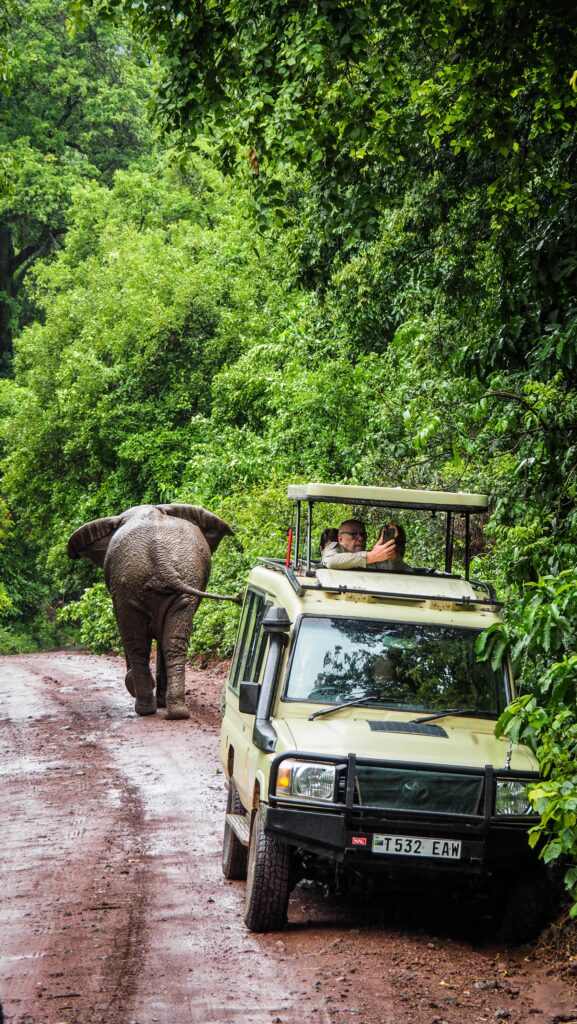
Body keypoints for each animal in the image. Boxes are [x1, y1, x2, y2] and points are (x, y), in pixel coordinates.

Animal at [67, 503, 239, 720]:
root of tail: (159, 556)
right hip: (169, 579)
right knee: (173, 642)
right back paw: (177, 712)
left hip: (130, 584)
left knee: (137, 644)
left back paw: (145, 709)